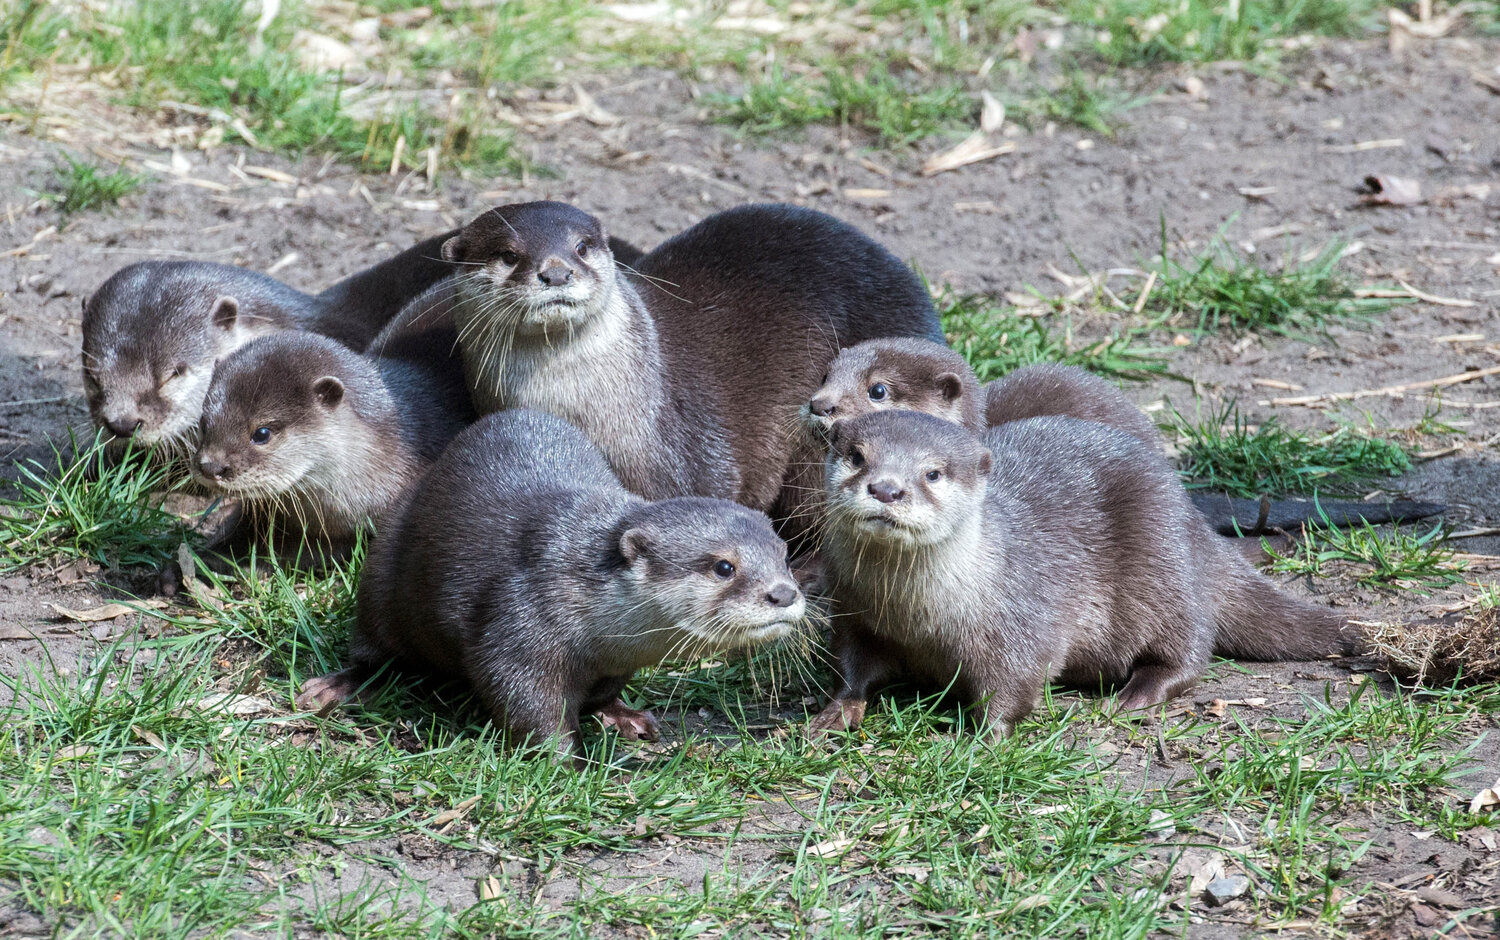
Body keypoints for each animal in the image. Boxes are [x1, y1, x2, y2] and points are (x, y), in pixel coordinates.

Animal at [295, 409, 807, 760]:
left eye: (784, 555)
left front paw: (621, 715)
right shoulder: (522, 622)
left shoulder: (617, 662)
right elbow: (524, 700)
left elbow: (599, 694)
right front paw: (571, 766)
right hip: (382, 577)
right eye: (724, 567)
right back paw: (335, 688)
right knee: (375, 652)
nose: (783, 594)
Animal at [809, 411, 1353, 740]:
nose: (886, 488)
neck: (914, 614)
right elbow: (853, 667)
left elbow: (1014, 684)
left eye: (933, 473)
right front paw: (836, 711)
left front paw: (984, 739)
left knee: (1191, 649)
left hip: (1163, 563)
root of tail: (1193, 520)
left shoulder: (1021, 619)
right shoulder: (854, 611)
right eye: (857, 457)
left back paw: (1136, 694)